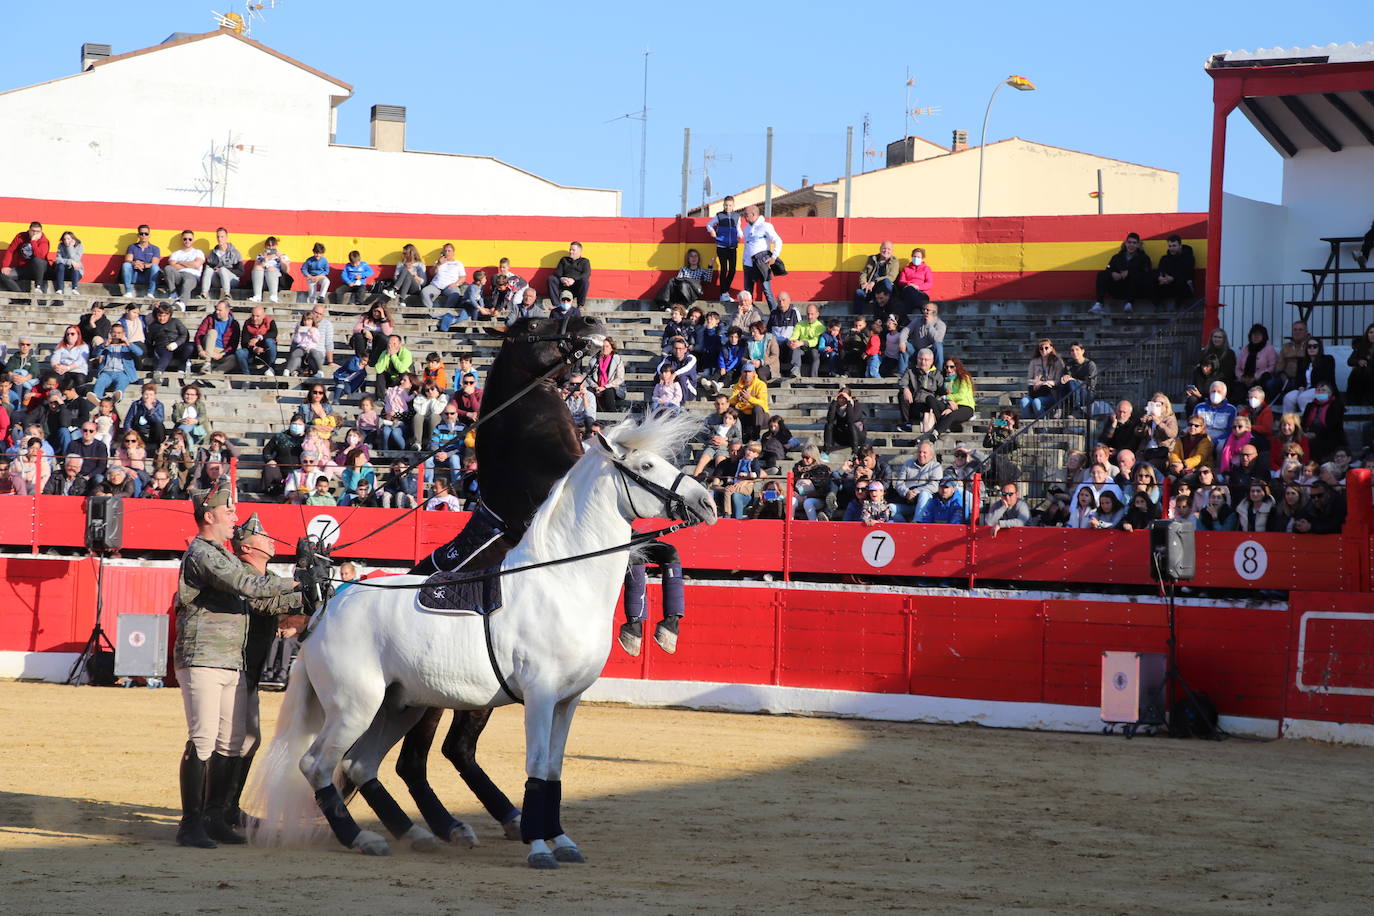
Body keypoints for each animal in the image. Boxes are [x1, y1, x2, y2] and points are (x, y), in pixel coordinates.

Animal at [245, 411, 714, 873]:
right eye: (646, 466)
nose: (707, 502)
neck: (560, 583)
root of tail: (326, 609)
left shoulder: (567, 701)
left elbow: (554, 770)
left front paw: (562, 841)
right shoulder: (541, 696)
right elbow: (536, 765)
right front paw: (539, 848)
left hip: (400, 707)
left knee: (360, 765)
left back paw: (417, 834)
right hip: (354, 708)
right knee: (317, 764)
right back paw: (363, 838)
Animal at [398, 311, 612, 840]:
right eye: (535, 323)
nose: (592, 319)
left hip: (478, 692)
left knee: (457, 749)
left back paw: (509, 815)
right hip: (431, 696)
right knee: (414, 760)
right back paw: (451, 824)